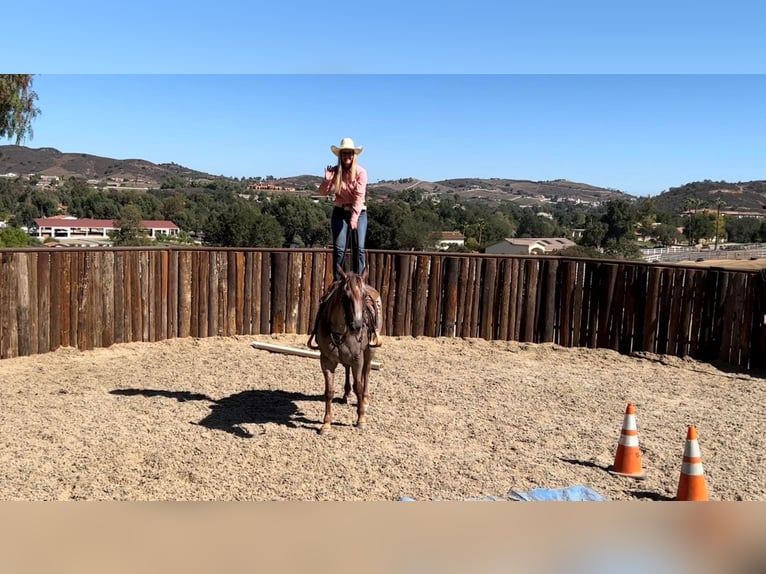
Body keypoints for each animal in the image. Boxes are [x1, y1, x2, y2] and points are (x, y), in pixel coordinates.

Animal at [308, 268, 380, 434]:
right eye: (345, 296)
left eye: (364, 296)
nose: (357, 326)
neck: (341, 330)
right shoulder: (326, 360)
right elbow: (329, 391)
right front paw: (326, 423)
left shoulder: (357, 358)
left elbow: (358, 385)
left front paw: (361, 419)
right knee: (347, 369)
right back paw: (346, 394)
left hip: (370, 351)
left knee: (367, 372)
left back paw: (365, 400)